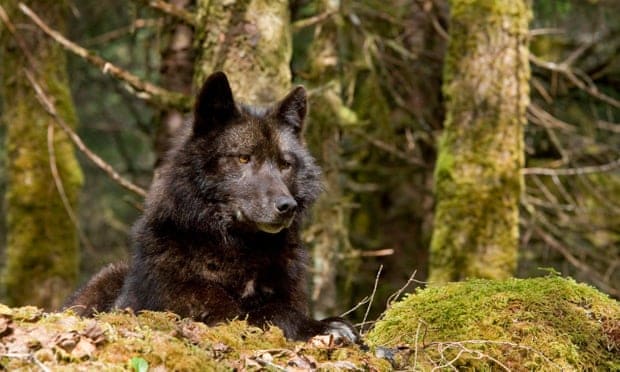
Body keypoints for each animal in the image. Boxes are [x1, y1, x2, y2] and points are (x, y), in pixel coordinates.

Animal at [65, 71, 358, 342]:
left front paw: (328, 324)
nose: (287, 206)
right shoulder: (194, 306)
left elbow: (279, 307)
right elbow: (258, 312)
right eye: (243, 158)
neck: (240, 251)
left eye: (285, 164)